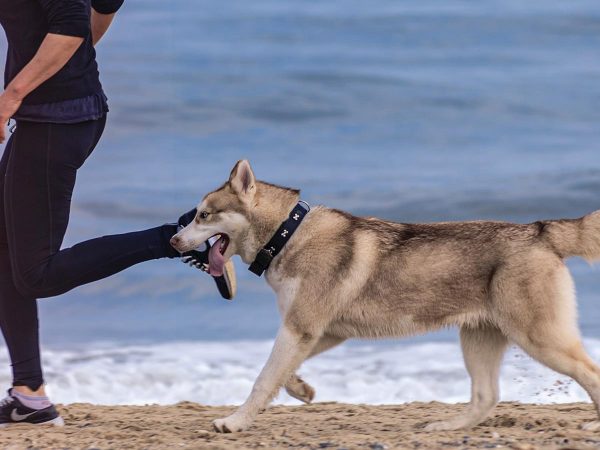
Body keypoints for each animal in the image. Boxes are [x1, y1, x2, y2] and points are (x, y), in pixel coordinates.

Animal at [169, 161, 600, 432]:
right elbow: (282, 374)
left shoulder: (300, 328)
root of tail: (539, 229)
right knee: (486, 396)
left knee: (589, 373)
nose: (172, 240)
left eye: (204, 215)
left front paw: (234, 422)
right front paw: (302, 389)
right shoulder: (319, 332)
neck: (288, 234)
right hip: (478, 339)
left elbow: (262, 379)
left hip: (541, 340)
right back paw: (446, 426)